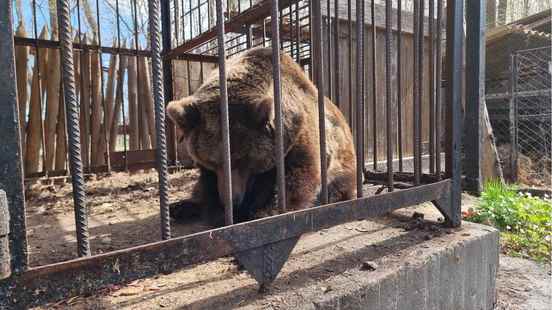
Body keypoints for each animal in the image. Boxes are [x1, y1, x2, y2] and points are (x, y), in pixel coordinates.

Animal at [168, 46, 356, 225]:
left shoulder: (299, 134)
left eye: (242, 159)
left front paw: (265, 212)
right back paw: (180, 207)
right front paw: (217, 211)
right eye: (212, 162)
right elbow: (207, 184)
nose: (231, 201)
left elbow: (298, 177)